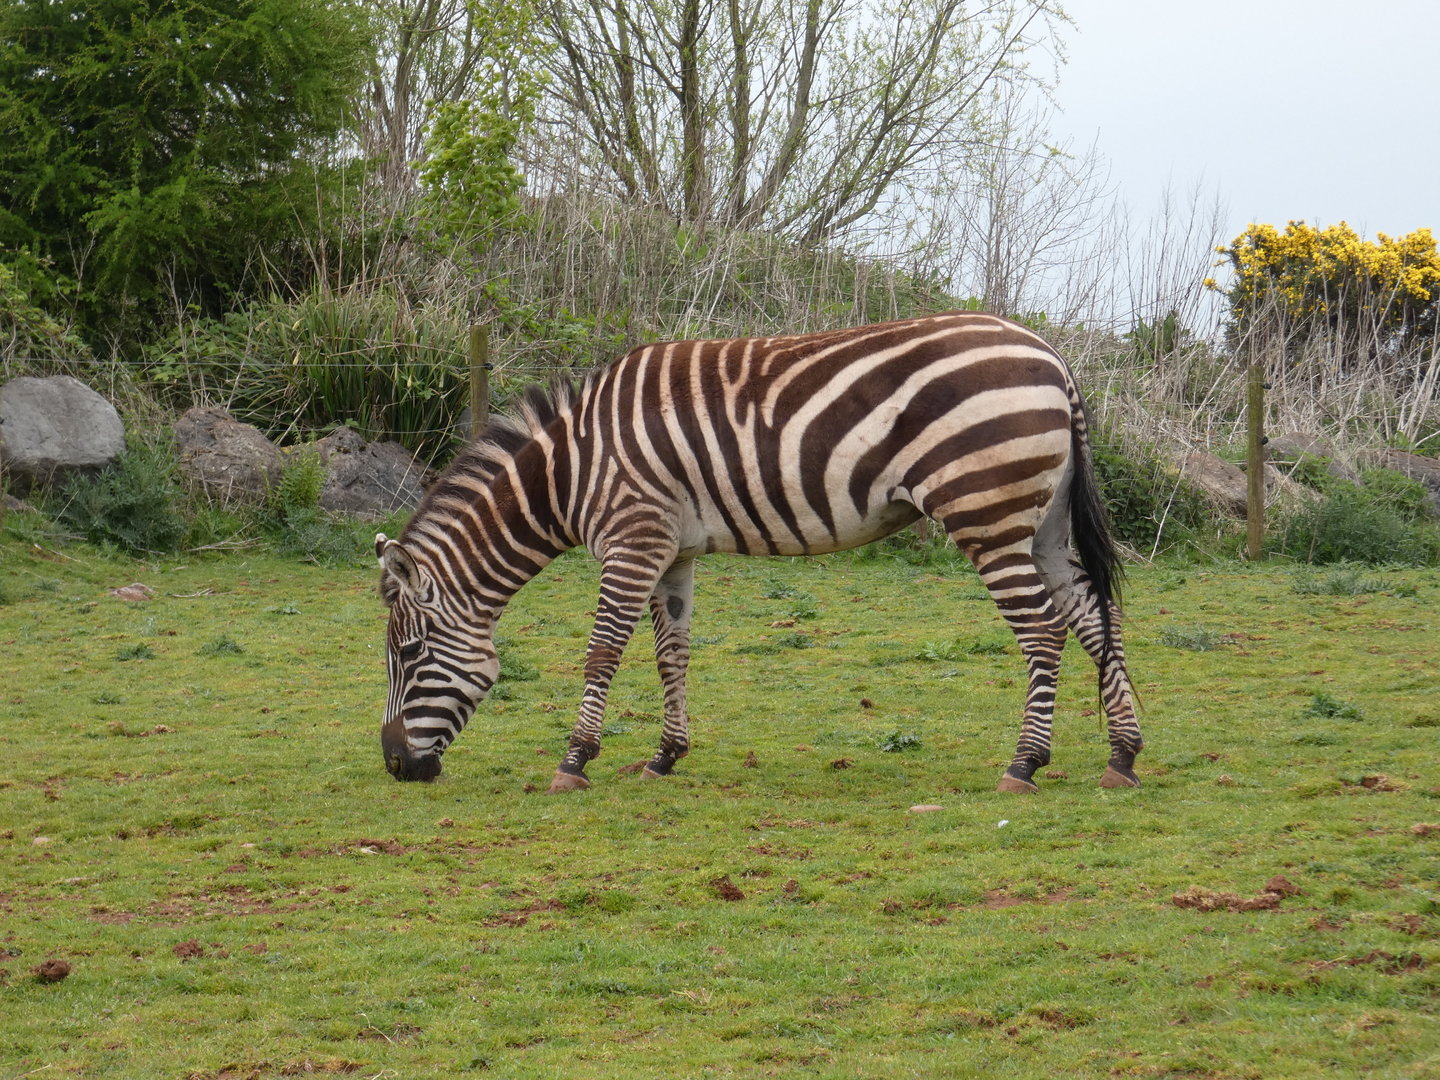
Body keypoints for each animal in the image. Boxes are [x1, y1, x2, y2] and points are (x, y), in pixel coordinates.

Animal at [376, 311, 1143, 794]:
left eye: (409, 654)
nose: (393, 765)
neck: (572, 470)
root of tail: (1050, 356)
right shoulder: (672, 550)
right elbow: (671, 654)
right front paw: (665, 757)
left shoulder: (632, 539)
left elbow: (601, 653)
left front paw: (574, 761)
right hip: (1039, 523)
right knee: (1094, 619)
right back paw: (1123, 756)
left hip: (986, 513)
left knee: (1043, 631)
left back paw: (1025, 764)